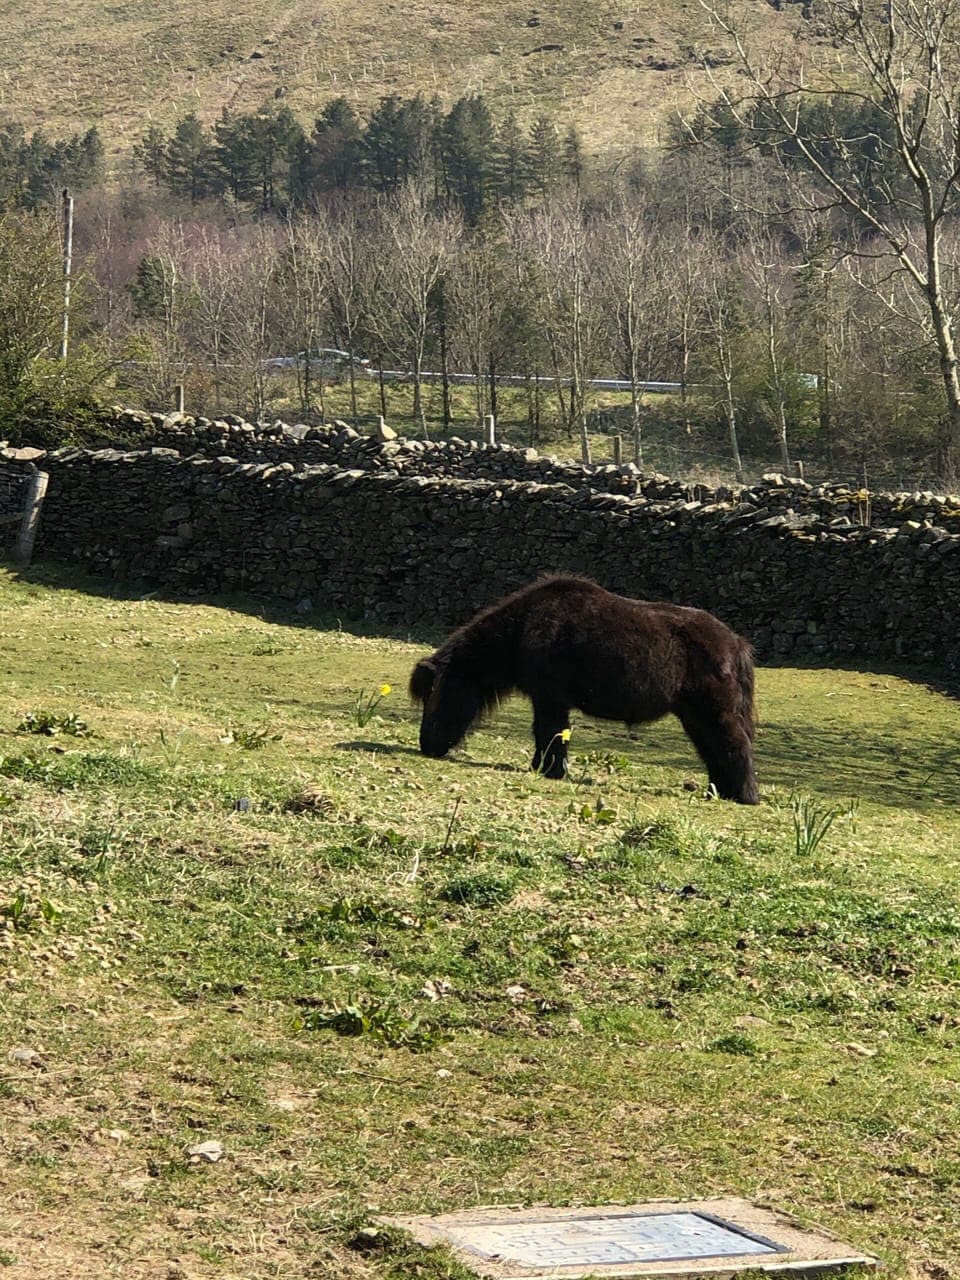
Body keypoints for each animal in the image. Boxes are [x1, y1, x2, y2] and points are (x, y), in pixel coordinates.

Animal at [409, 575, 759, 804]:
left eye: (436, 693)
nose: (427, 745)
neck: (523, 626)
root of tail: (735, 644)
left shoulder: (550, 699)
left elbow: (549, 733)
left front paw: (549, 770)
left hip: (713, 712)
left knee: (733, 746)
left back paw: (744, 796)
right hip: (695, 717)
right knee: (714, 749)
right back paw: (719, 791)